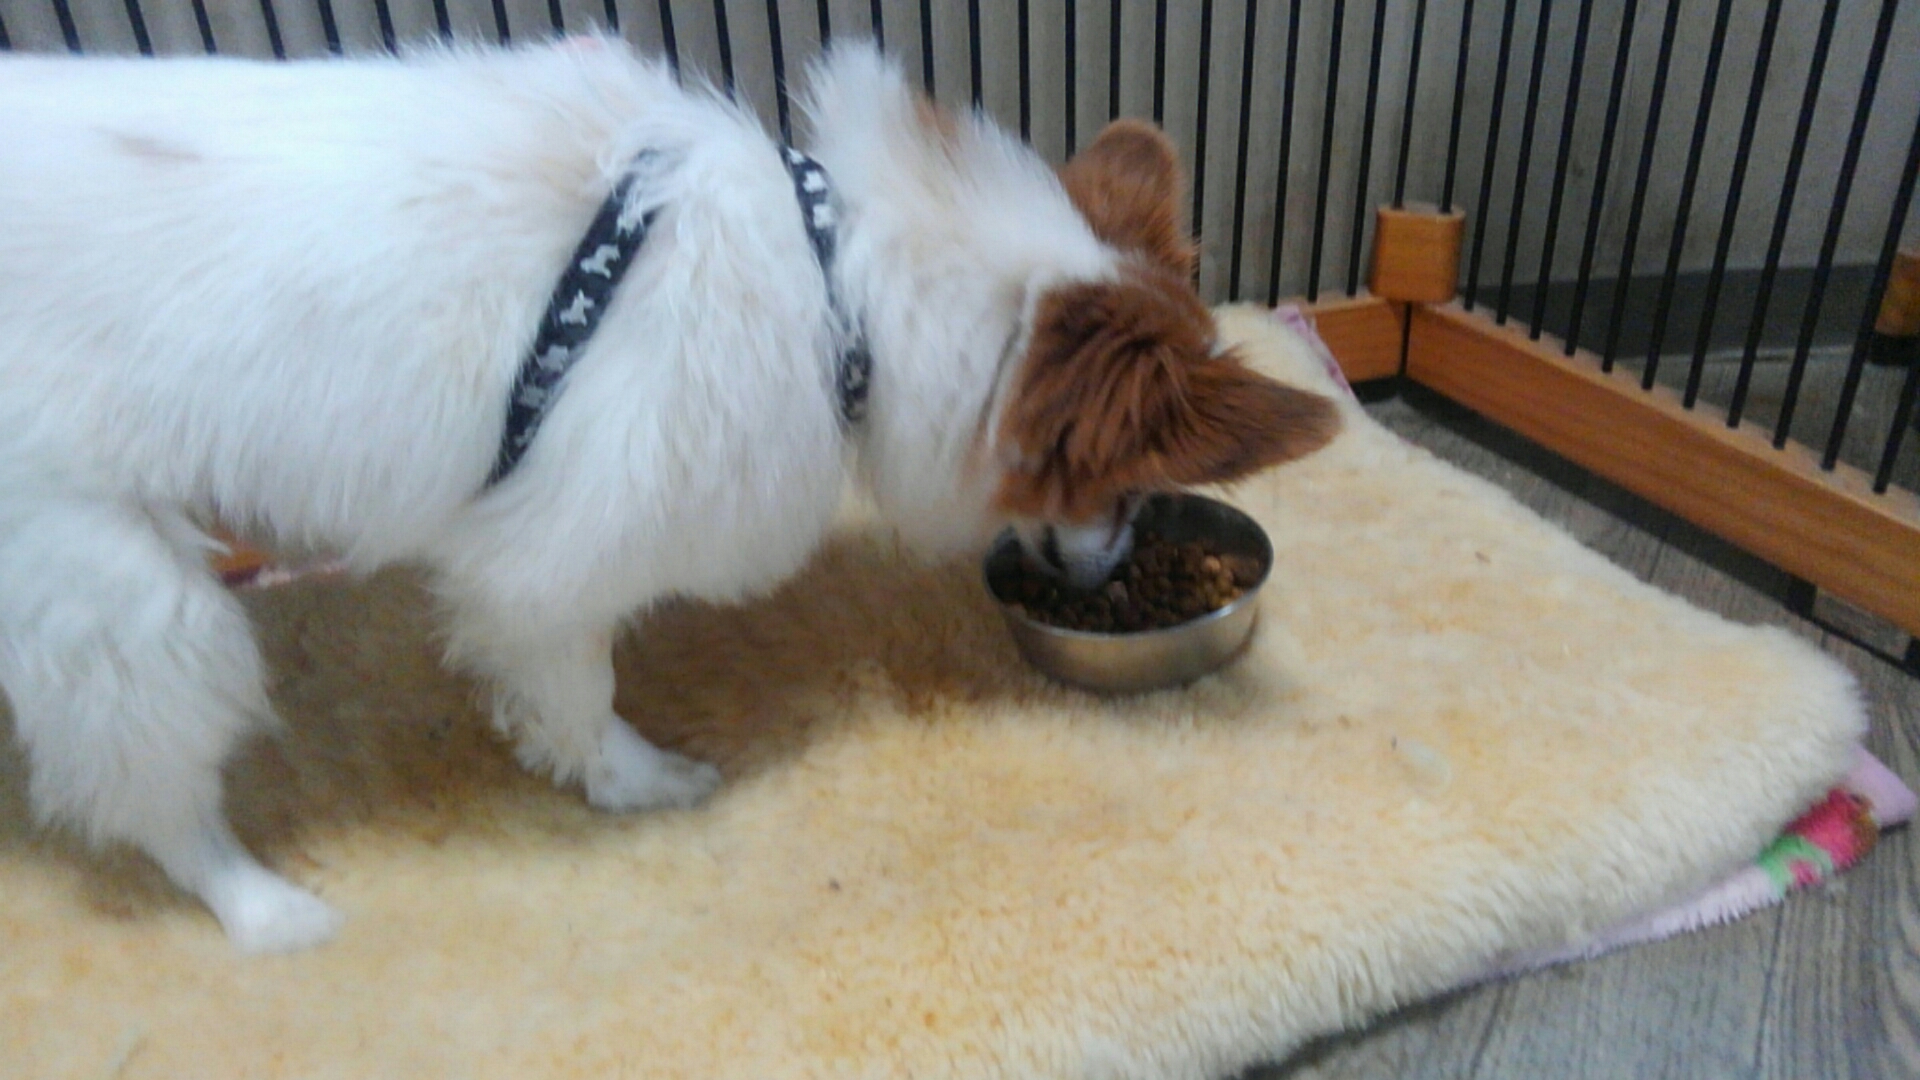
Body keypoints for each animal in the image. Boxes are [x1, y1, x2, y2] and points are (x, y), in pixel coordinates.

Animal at [0, 37, 1339, 952]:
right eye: (1129, 483)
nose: (1114, 569)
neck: (837, 281)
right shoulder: (548, 560)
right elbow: (577, 691)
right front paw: (638, 786)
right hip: (123, 590)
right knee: (155, 785)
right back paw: (265, 908)